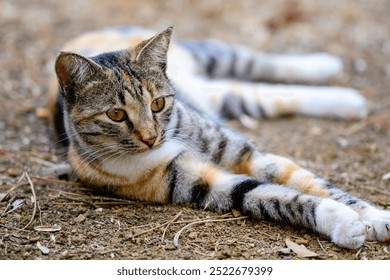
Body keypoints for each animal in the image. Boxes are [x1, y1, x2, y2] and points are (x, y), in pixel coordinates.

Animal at [49, 26, 390, 249]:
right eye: (116, 114)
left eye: (157, 104)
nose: (151, 137)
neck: (168, 141)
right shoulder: (205, 183)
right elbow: (274, 197)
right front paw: (344, 222)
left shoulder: (245, 153)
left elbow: (316, 185)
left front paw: (376, 217)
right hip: (230, 97)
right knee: (267, 94)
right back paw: (347, 101)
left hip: (212, 56)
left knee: (253, 61)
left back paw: (325, 65)